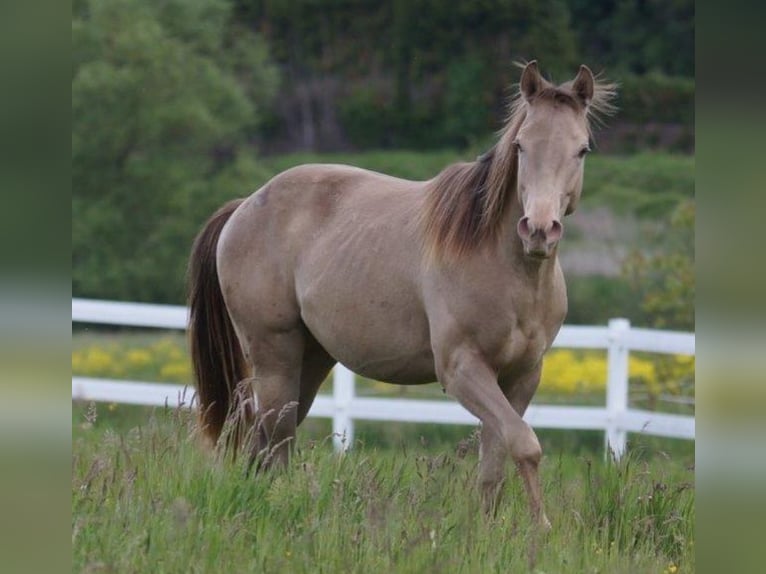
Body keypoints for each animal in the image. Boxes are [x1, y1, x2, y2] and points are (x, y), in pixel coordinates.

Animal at [188, 61, 616, 528]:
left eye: (582, 150)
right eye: (521, 145)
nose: (539, 230)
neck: (508, 270)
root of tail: (245, 206)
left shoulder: (522, 376)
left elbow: (496, 461)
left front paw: (490, 529)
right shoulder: (462, 369)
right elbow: (525, 444)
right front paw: (542, 527)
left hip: (311, 357)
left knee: (265, 437)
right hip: (274, 356)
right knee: (274, 437)